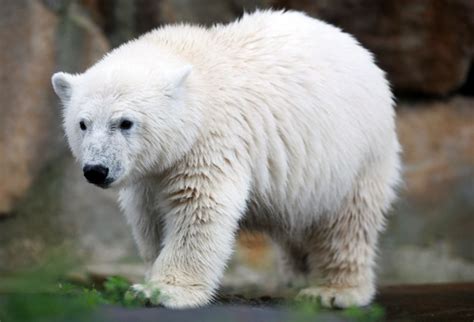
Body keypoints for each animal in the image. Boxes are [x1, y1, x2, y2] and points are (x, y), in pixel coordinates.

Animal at [51, 10, 400, 310]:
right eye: (82, 124)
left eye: (125, 122)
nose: (96, 170)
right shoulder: (150, 172)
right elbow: (149, 216)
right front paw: (150, 277)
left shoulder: (212, 141)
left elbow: (198, 208)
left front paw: (161, 291)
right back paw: (297, 276)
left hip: (356, 153)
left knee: (348, 221)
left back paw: (333, 291)